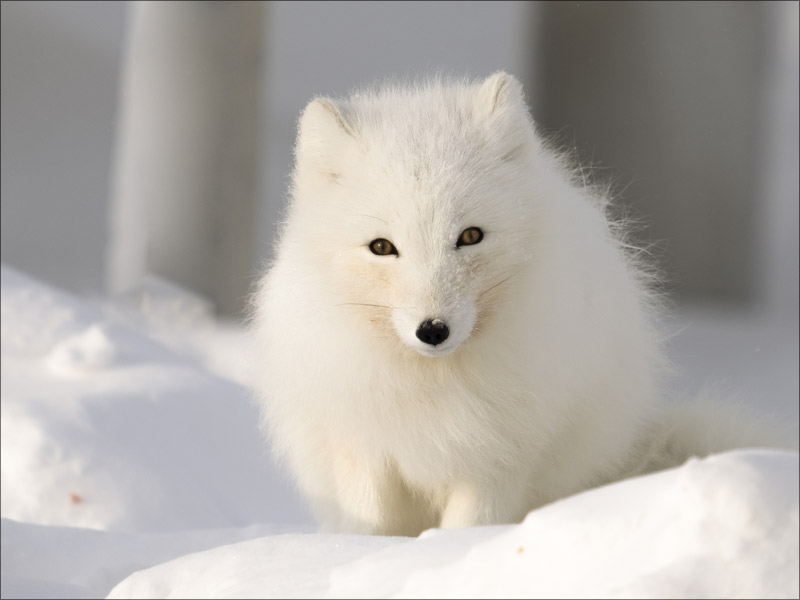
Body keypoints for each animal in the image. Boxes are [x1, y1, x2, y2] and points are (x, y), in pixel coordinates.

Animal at [255, 72, 780, 536]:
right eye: (382, 247)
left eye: (470, 236)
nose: (433, 330)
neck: (434, 387)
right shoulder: (362, 449)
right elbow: (370, 527)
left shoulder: (500, 459)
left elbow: (468, 529)